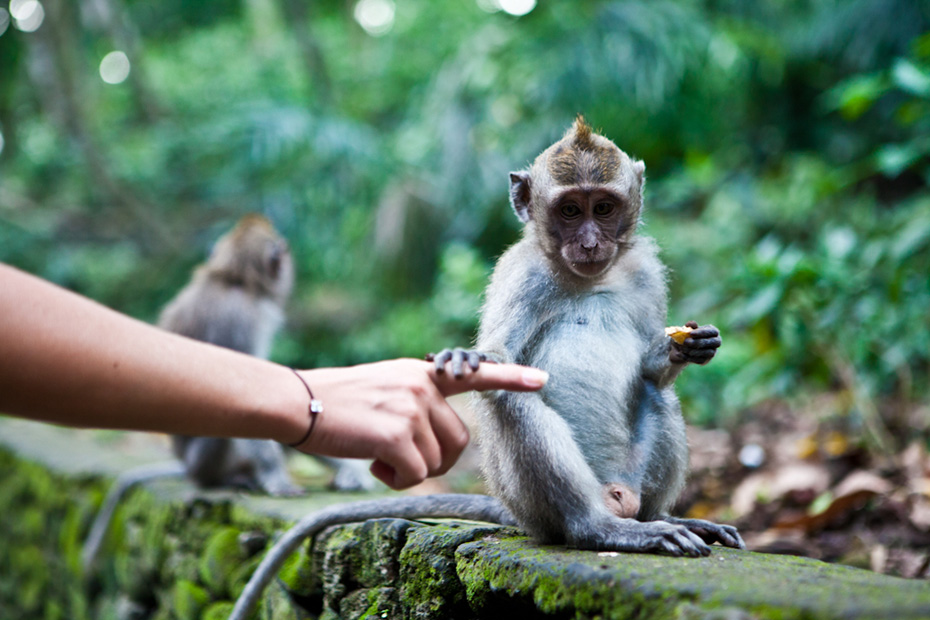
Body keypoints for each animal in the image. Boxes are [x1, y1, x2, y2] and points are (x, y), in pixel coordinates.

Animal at [432, 117, 744, 556]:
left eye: (603, 208)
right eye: (569, 210)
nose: (590, 242)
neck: (590, 278)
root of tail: (616, 498)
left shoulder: (646, 272)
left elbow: (651, 369)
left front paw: (685, 346)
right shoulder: (522, 277)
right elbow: (500, 361)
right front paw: (469, 360)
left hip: (631, 476)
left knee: (658, 393)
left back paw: (663, 518)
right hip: (531, 508)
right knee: (516, 400)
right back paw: (600, 528)